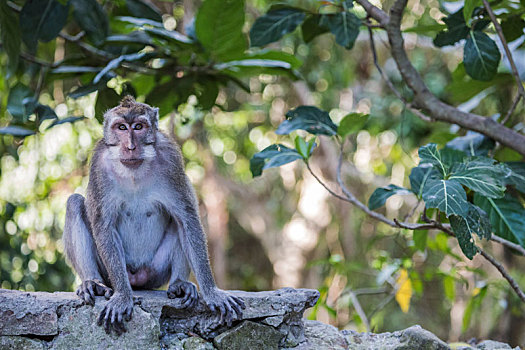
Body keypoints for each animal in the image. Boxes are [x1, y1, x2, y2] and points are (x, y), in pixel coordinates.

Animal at [62, 95, 244, 334]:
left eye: (139, 127)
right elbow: (103, 226)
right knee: (74, 203)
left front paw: (212, 292)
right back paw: (92, 282)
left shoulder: (171, 159)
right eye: (121, 127)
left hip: (156, 271)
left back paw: (179, 284)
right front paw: (122, 296)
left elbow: (187, 220)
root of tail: (138, 279)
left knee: (179, 221)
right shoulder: (99, 165)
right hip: (110, 271)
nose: (130, 146)